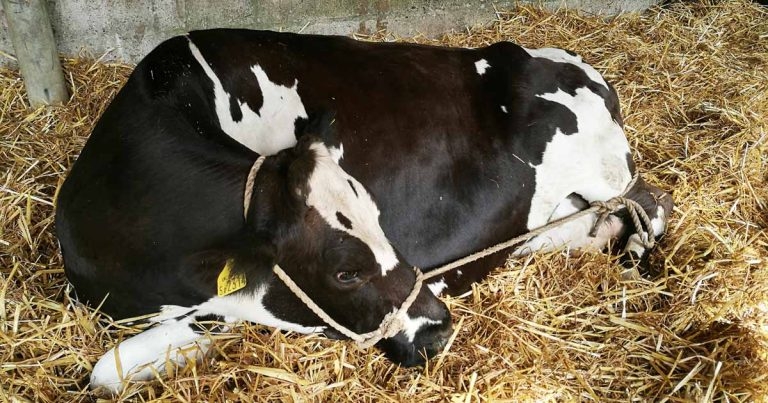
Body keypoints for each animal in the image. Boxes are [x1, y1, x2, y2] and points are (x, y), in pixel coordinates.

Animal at [55, 29, 673, 393]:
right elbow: (106, 369)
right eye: (345, 272)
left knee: (653, 204)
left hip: (607, 168)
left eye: (381, 221)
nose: (438, 330)